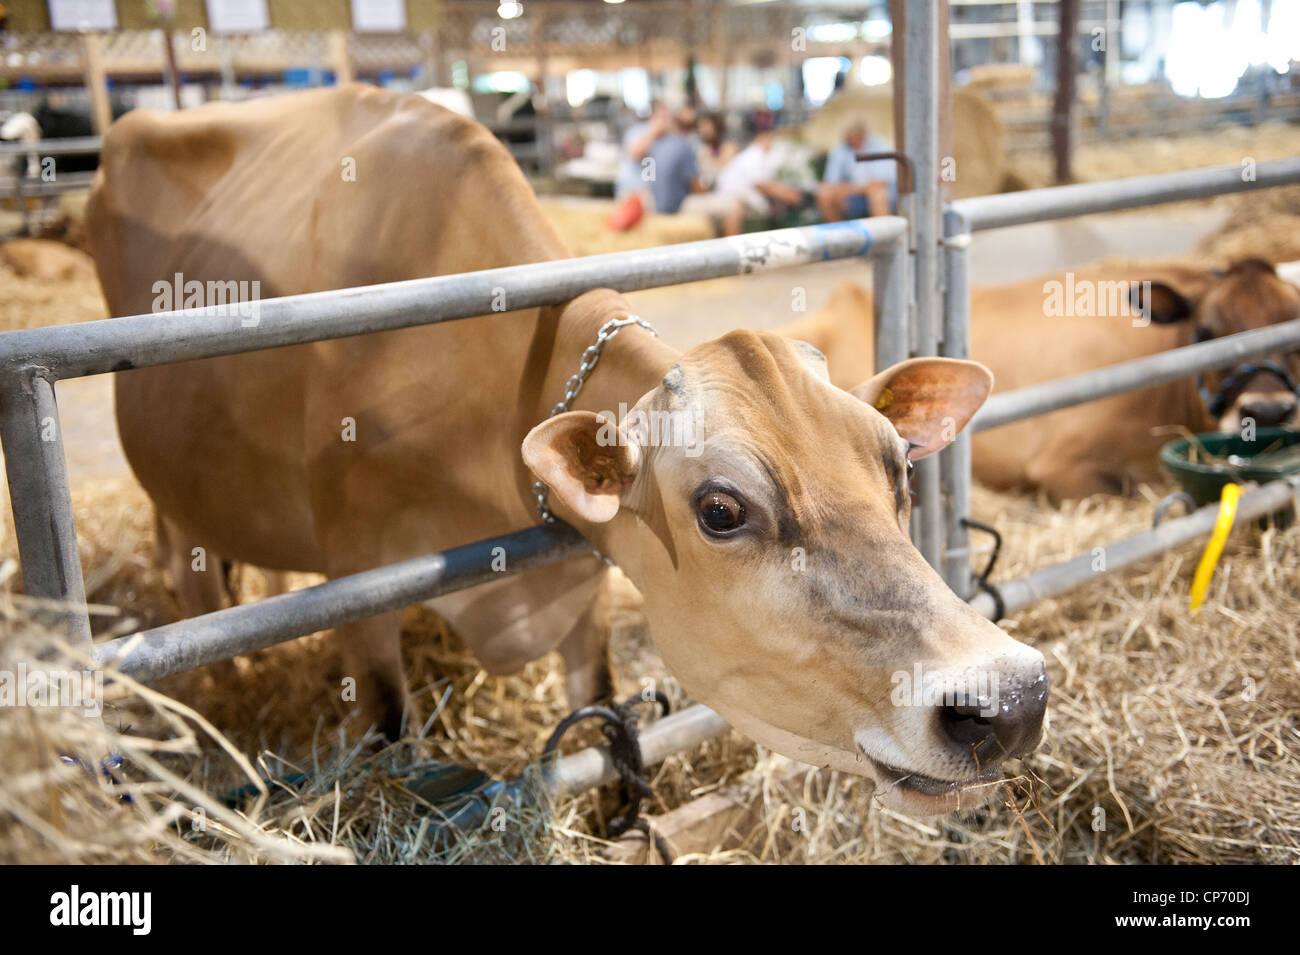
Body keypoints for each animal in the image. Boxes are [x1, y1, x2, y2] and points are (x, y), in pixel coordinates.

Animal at [86, 84, 1048, 816]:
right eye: (720, 509)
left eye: (900, 468)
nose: (1009, 699)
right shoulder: (359, 587)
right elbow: (388, 730)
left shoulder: (582, 587)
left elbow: (602, 716)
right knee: (186, 563)